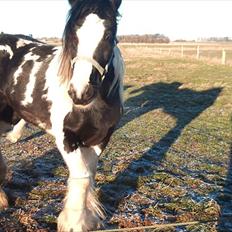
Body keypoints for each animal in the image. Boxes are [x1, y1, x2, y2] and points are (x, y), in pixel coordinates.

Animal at [0, 0, 124, 230]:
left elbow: (89, 175)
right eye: (73, 33)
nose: (80, 92)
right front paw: (74, 223)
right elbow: (81, 176)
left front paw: (87, 218)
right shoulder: (66, 138)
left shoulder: (99, 140)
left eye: (109, 34)